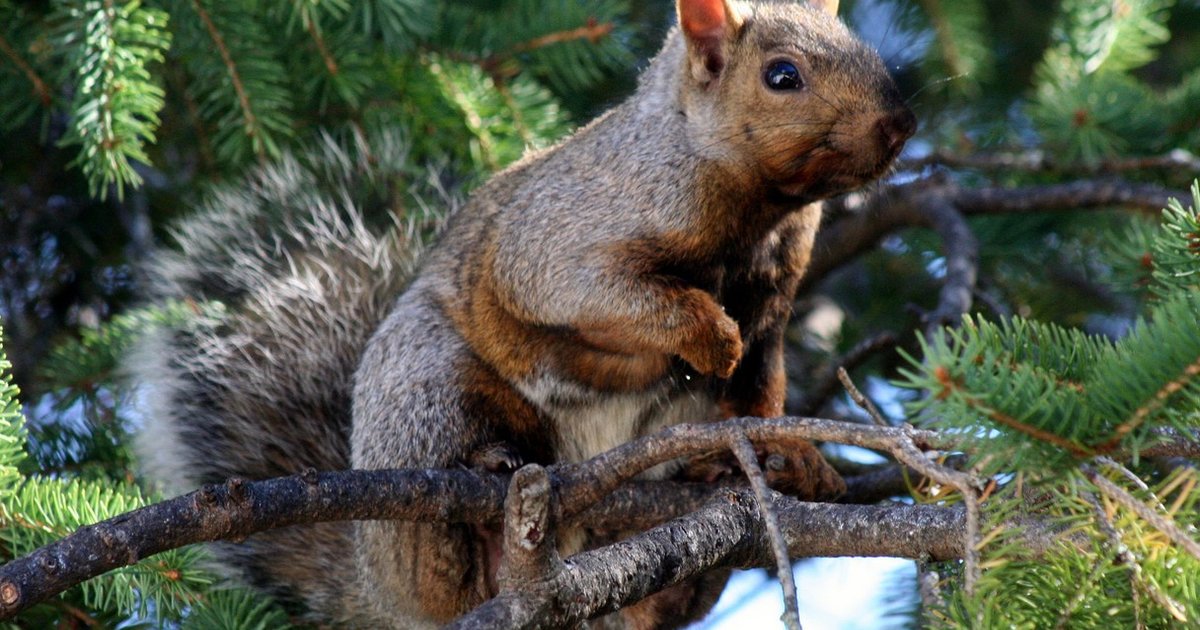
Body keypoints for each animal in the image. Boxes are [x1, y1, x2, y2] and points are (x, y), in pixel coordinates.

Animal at [131, 0, 912, 624]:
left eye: (859, 44)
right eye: (782, 76)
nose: (900, 123)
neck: (757, 208)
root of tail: (378, 595)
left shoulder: (774, 305)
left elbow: (759, 393)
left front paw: (792, 457)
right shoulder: (559, 243)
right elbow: (620, 298)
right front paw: (707, 333)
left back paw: (707, 477)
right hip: (427, 387)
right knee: (443, 555)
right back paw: (486, 476)